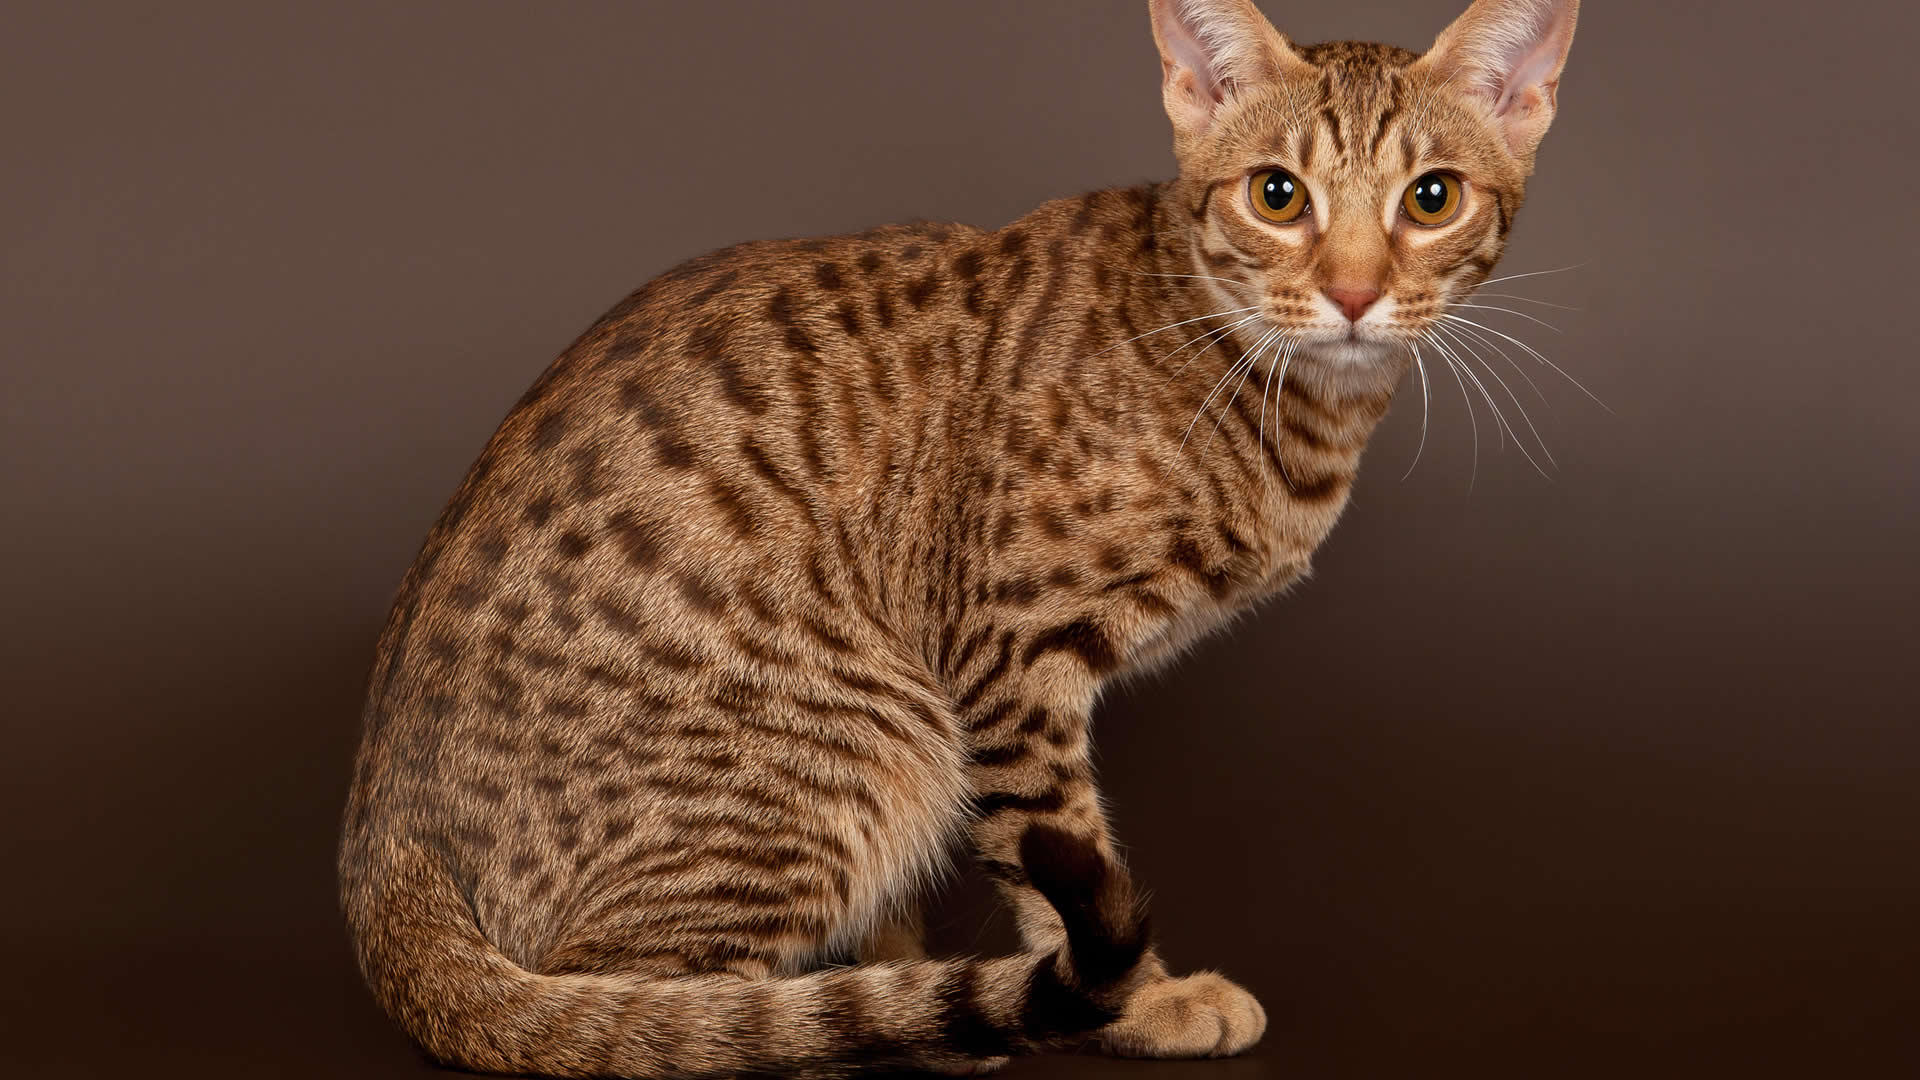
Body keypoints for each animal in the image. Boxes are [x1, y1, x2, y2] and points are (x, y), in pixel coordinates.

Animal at [341, 2, 1574, 1068]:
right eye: (1278, 196)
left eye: (1431, 198)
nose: (1355, 292)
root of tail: (381, 862)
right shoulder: (1006, 653)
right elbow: (1055, 847)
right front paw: (1143, 1002)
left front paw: (918, 969)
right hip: (866, 740)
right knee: (636, 1019)